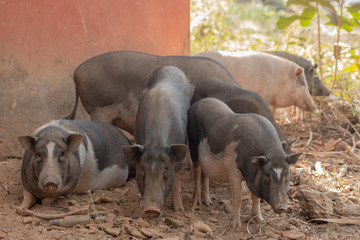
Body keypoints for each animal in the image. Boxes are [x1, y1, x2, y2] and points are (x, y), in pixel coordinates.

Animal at [123, 65, 191, 218]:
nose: (151, 209)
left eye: (165, 168)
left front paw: (179, 210)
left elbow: (175, 179)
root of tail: (171, 66)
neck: (156, 143)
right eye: (143, 168)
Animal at [187, 98, 302, 229]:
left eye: (287, 174)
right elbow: (238, 198)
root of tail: (197, 103)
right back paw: (197, 202)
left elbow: (256, 198)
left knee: (205, 175)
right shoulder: (233, 171)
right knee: (197, 171)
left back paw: (208, 203)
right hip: (192, 142)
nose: (281, 208)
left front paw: (260, 221)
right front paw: (236, 226)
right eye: (267, 175)